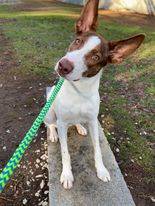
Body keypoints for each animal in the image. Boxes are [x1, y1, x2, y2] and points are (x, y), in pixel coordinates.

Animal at [44, 0, 145, 190]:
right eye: (77, 41)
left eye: (96, 57)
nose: (63, 66)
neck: (79, 91)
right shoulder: (62, 122)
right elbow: (65, 152)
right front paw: (67, 174)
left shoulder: (93, 121)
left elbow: (97, 149)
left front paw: (102, 170)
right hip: (49, 113)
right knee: (51, 124)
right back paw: (53, 134)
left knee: (75, 122)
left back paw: (79, 127)